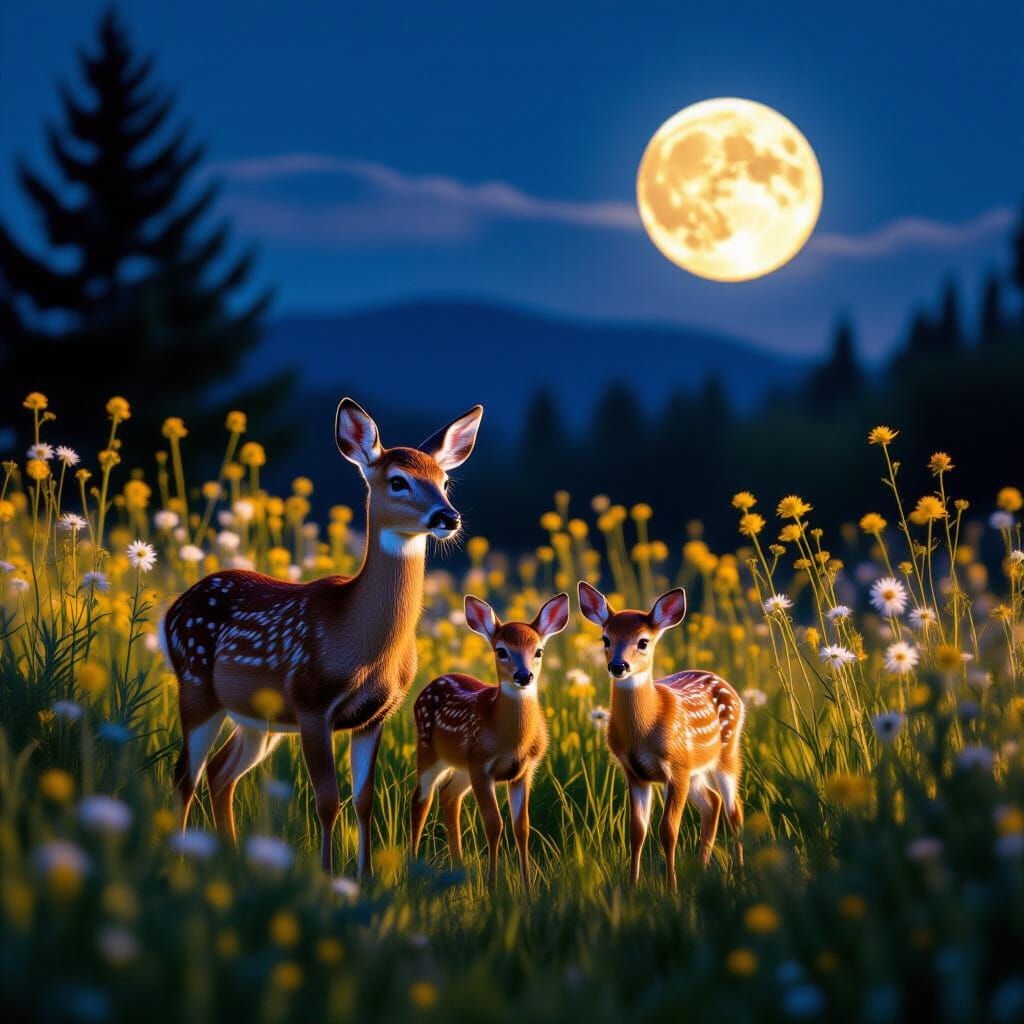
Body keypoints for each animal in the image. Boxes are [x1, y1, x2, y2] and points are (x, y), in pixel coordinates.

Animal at [161, 398, 483, 876]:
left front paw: (365, 877)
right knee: (186, 774)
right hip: (197, 685)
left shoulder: (375, 715)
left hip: (257, 717)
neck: (356, 635)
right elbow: (328, 800)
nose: (448, 516)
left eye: (444, 481)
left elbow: (364, 801)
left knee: (220, 773)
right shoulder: (313, 701)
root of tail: (171, 611)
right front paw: (329, 876)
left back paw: (231, 859)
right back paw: (180, 862)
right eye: (398, 481)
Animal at [409, 592, 570, 892]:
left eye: (539, 651)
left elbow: (522, 828)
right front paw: (493, 887)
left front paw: (528, 889)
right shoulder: (481, 764)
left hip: (462, 768)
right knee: (421, 799)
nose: (524, 675)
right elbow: (494, 825)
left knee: (449, 796)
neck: (510, 739)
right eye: (501, 651)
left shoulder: (524, 770)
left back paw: (458, 870)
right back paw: (411, 868)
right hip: (428, 751)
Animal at [577, 581, 745, 891]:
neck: (643, 731)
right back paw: (702, 871)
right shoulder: (635, 772)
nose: (618, 666)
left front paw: (671, 889)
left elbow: (668, 830)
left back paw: (739, 873)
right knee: (712, 802)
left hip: (726, 753)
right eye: (605, 638)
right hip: (695, 770)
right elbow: (637, 831)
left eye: (643, 642)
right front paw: (632, 887)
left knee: (734, 810)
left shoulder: (676, 767)